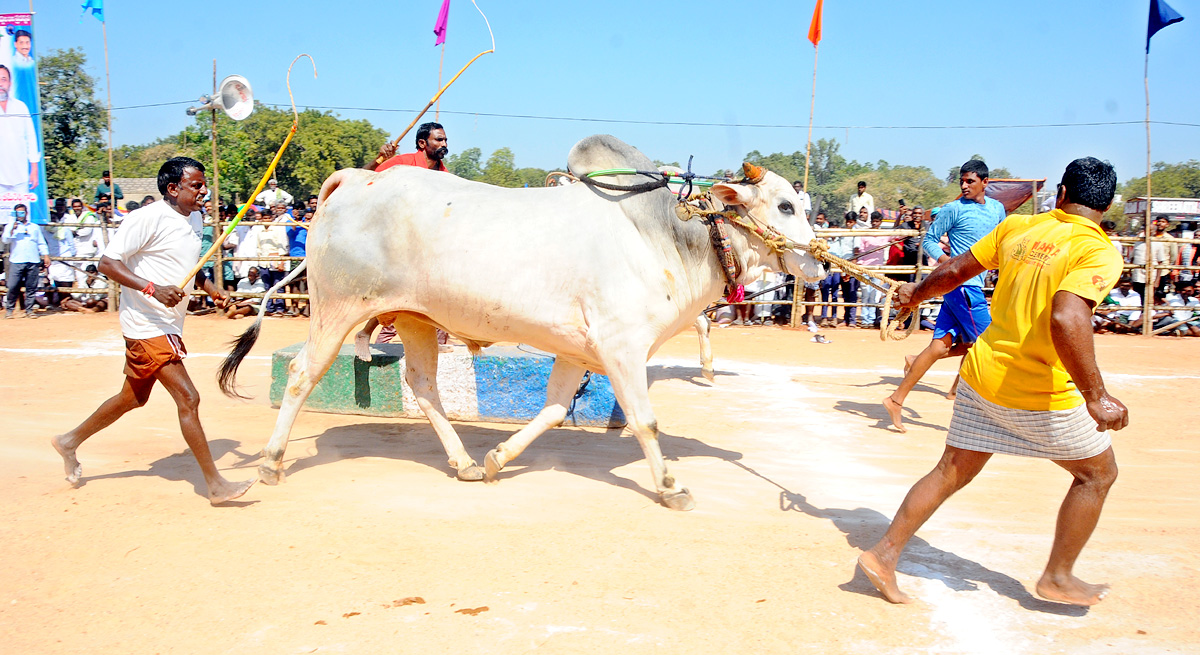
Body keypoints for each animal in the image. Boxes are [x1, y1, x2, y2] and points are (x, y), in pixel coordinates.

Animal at [220, 133, 825, 508]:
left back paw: (464, 461)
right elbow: (645, 422)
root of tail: (354, 179)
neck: (667, 234)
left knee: (423, 385)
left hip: (415, 318)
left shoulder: (579, 352)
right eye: (785, 205)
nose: (818, 264)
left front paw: (496, 459)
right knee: (302, 373)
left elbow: (554, 410)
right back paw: (271, 462)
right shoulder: (623, 348)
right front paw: (672, 486)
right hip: (338, 308)